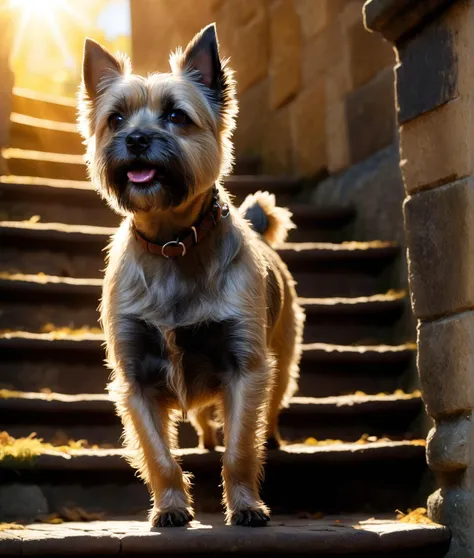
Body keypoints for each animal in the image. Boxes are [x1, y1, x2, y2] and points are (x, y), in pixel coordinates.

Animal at [78, 23, 304, 528]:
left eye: (176, 117)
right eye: (115, 119)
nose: (136, 140)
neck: (172, 243)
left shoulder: (245, 368)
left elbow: (240, 448)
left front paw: (246, 506)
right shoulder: (136, 380)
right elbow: (158, 455)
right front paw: (171, 508)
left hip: (281, 357)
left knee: (272, 407)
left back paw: (273, 437)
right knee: (202, 417)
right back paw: (204, 438)